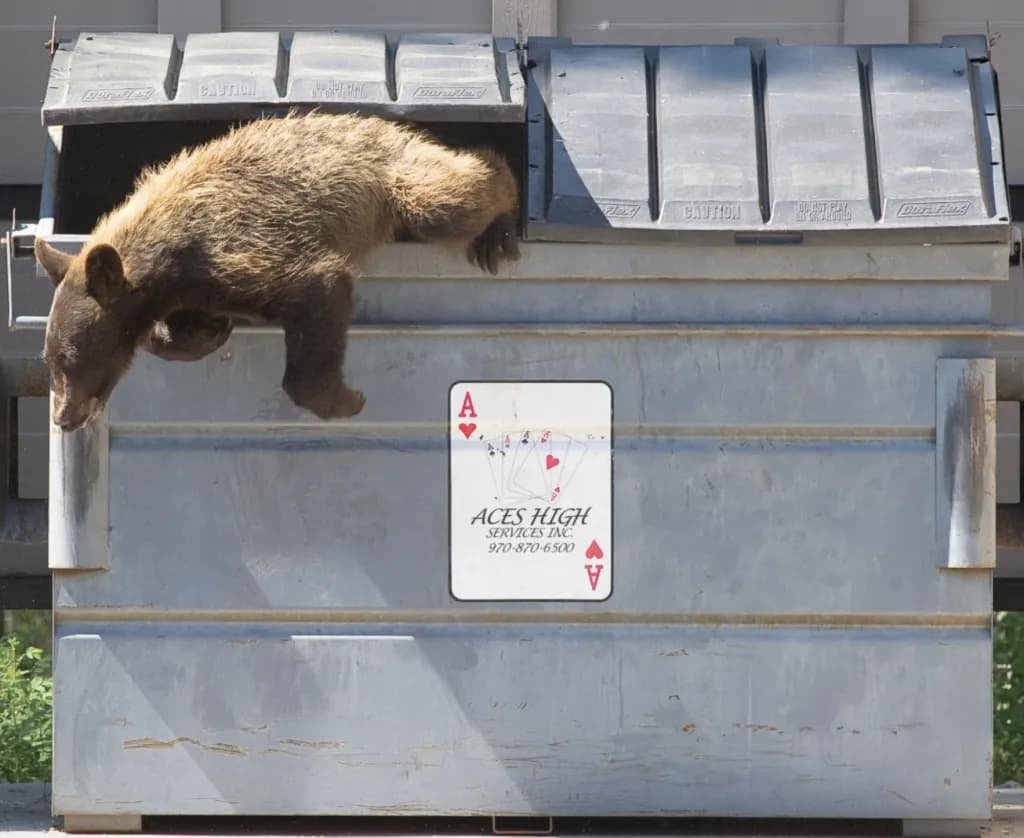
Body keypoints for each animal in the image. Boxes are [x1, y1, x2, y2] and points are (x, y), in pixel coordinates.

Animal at [34, 110, 520, 431]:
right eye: (50, 358)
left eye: (71, 357)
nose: (63, 417)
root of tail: (383, 124)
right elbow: (173, 328)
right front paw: (204, 331)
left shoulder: (243, 249)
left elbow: (318, 290)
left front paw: (346, 398)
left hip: (398, 177)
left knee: (453, 196)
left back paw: (498, 220)